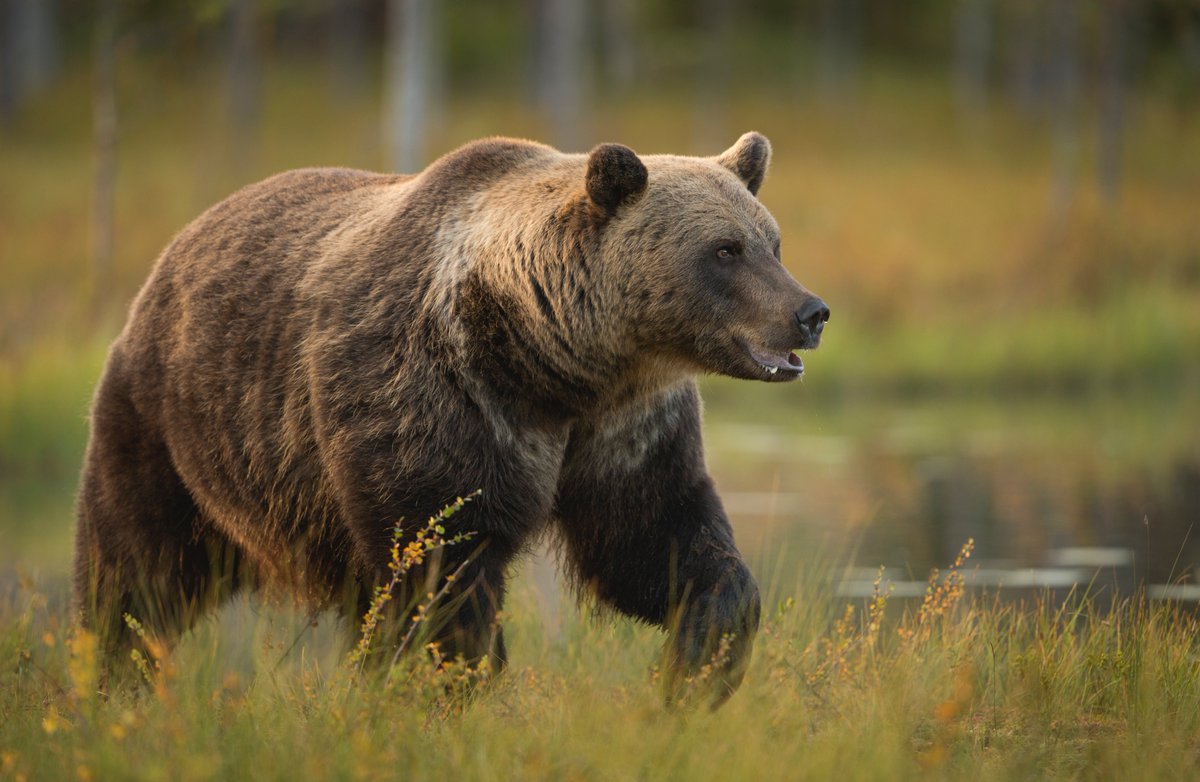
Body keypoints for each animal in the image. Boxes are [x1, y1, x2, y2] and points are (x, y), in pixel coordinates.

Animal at [73, 131, 829, 701]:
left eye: (772, 242)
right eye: (724, 250)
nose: (810, 312)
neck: (555, 361)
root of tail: (182, 242)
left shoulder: (626, 429)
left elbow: (658, 542)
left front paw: (692, 673)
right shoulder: (438, 398)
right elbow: (443, 565)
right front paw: (455, 687)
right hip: (172, 427)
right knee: (135, 572)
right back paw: (111, 682)